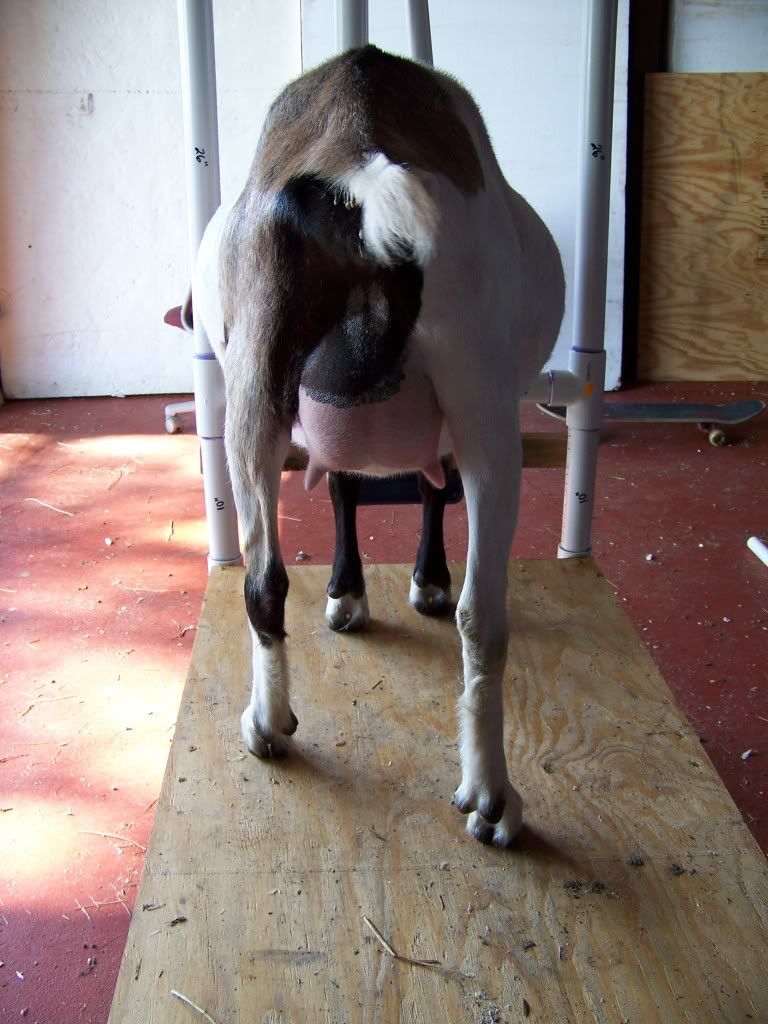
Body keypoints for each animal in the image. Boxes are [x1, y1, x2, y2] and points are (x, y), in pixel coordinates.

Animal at [192, 45, 565, 846]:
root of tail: (357, 162)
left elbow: (350, 485)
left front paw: (353, 592)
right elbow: (409, 488)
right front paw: (410, 583)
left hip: (254, 388)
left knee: (263, 582)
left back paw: (268, 726)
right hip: (483, 401)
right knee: (482, 614)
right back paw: (492, 797)